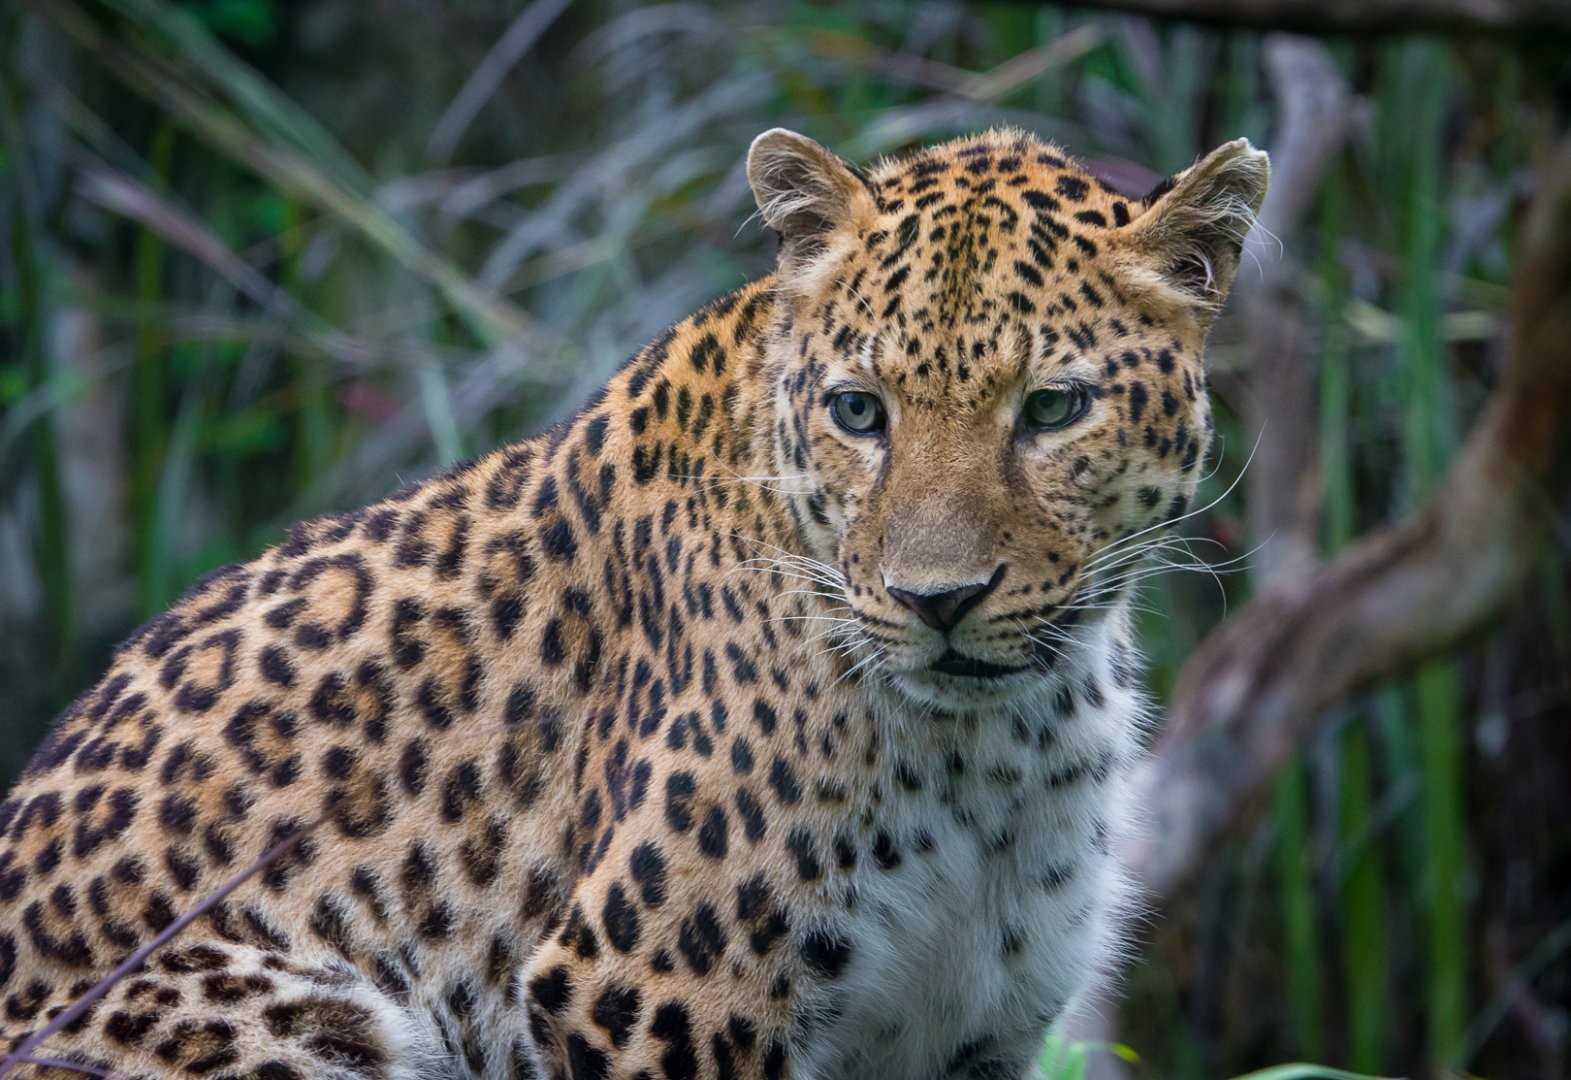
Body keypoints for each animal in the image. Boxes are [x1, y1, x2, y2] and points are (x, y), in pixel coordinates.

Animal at [0, 127, 1267, 1080]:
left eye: (1052, 409)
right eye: (859, 412)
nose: (937, 600)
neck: (999, 747)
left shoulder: (977, 1028)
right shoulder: (651, 988)